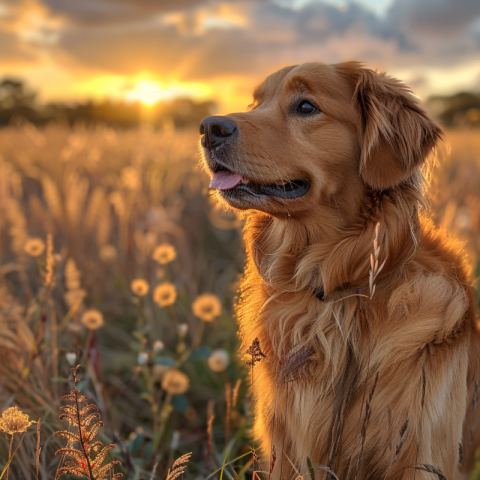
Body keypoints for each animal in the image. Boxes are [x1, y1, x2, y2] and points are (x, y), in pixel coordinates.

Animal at [199, 62, 480, 478]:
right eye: (256, 103)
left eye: (305, 107)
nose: (208, 128)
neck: (334, 285)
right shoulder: (286, 447)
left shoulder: (423, 452)